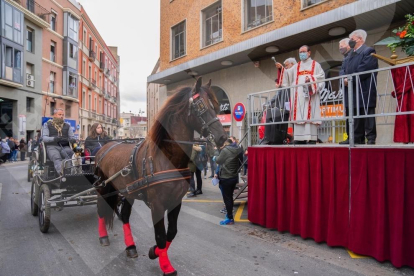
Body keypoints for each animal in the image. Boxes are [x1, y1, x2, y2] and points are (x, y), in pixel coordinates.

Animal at [94, 77, 226, 276]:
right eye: (201, 105)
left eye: (216, 106)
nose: (222, 137)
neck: (166, 158)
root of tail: (105, 147)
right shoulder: (157, 205)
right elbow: (160, 235)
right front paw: (166, 266)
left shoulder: (175, 202)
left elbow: (171, 233)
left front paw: (154, 252)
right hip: (104, 187)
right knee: (102, 209)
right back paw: (103, 237)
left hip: (128, 192)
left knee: (124, 215)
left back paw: (130, 247)